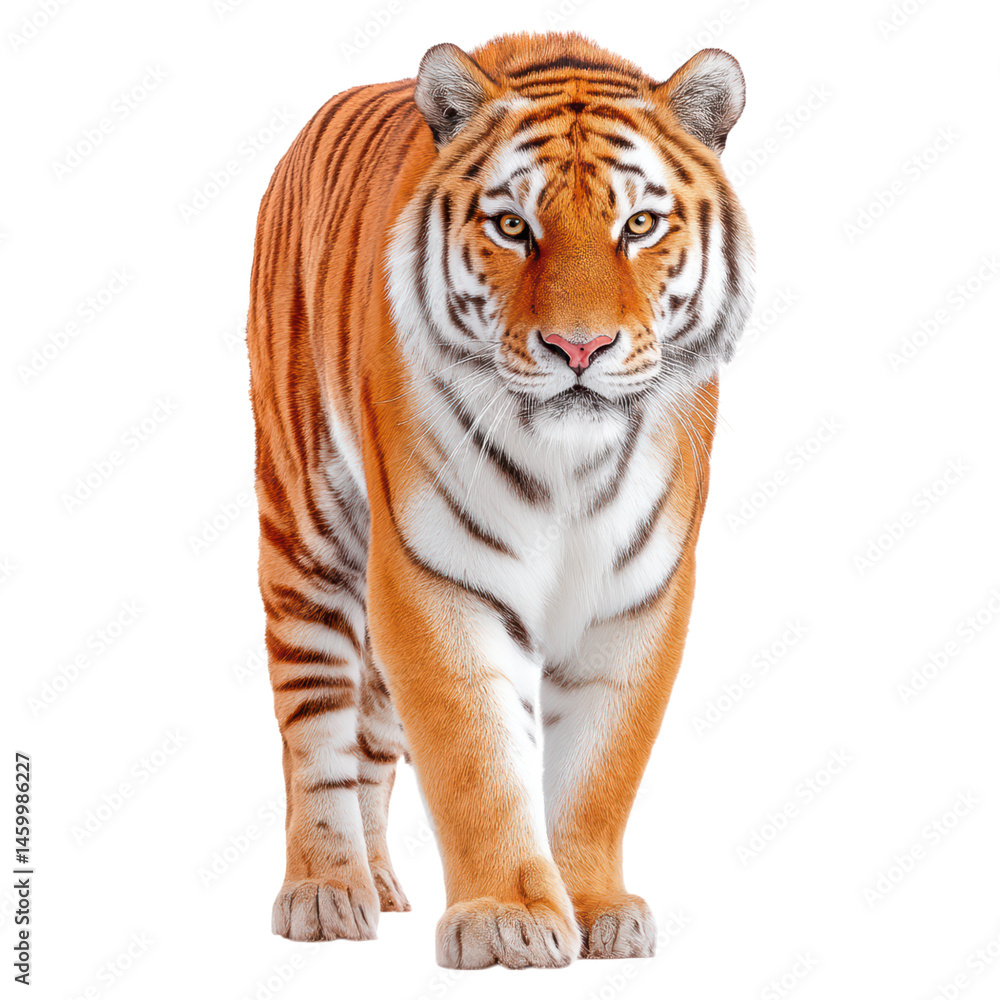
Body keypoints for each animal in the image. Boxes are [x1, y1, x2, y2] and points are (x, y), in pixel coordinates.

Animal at [246, 30, 754, 969]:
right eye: (514, 226)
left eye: (638, 224)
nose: (579, 347)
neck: (570, 465)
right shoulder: (432, 577)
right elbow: (474, 759)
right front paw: (506, 917)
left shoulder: (641, 596)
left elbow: (599, 769)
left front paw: (595, 908)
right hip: (305, 533)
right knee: (317, 725)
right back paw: (328, 893)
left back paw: (383, 883)